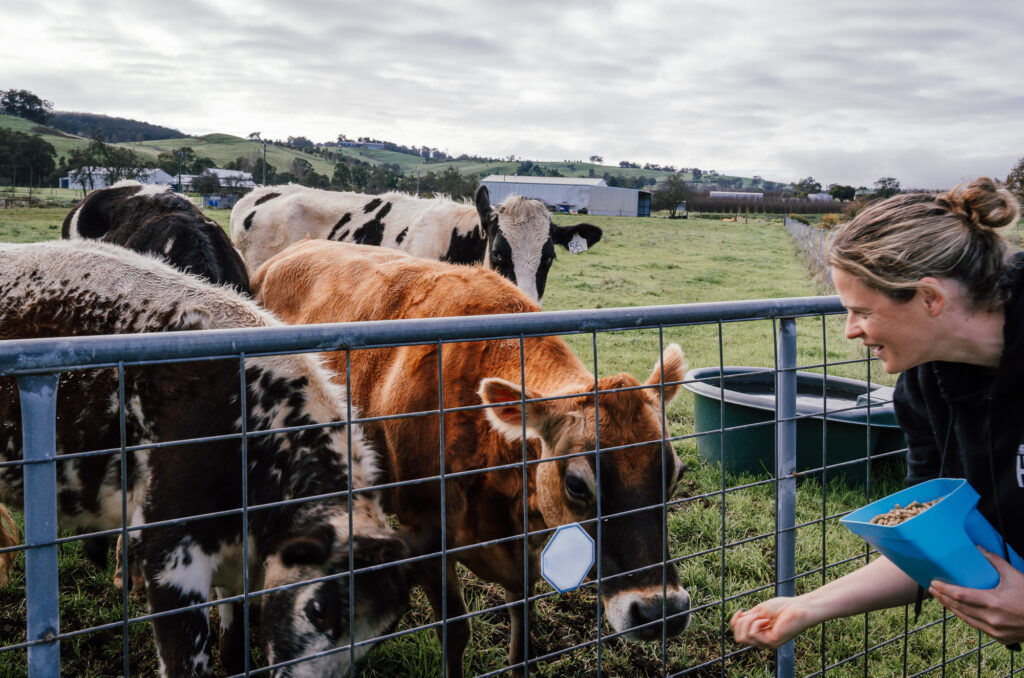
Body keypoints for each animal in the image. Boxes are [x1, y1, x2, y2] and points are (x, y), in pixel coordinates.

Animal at [251, 241, 692, 675]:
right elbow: (455, 630)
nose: (661, 610)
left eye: (675, 475)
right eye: (576, 484)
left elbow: (522, 636)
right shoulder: (426, 533)